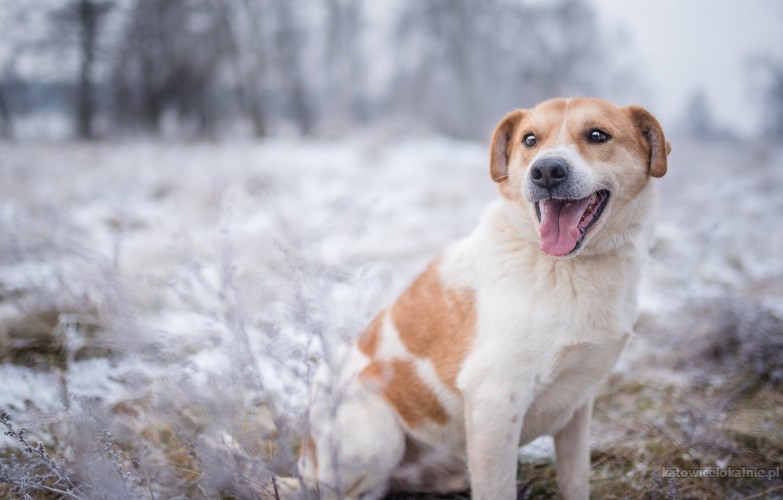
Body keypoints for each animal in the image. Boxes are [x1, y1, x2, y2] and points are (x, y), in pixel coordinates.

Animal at [298, 98, 672, 500]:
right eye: (529, 140)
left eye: (598, 135)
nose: (546, 171)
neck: (569, 266)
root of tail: (307, 460)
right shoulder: (493, 401)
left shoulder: (578, 406)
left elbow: (575, 482)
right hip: (376, 434)